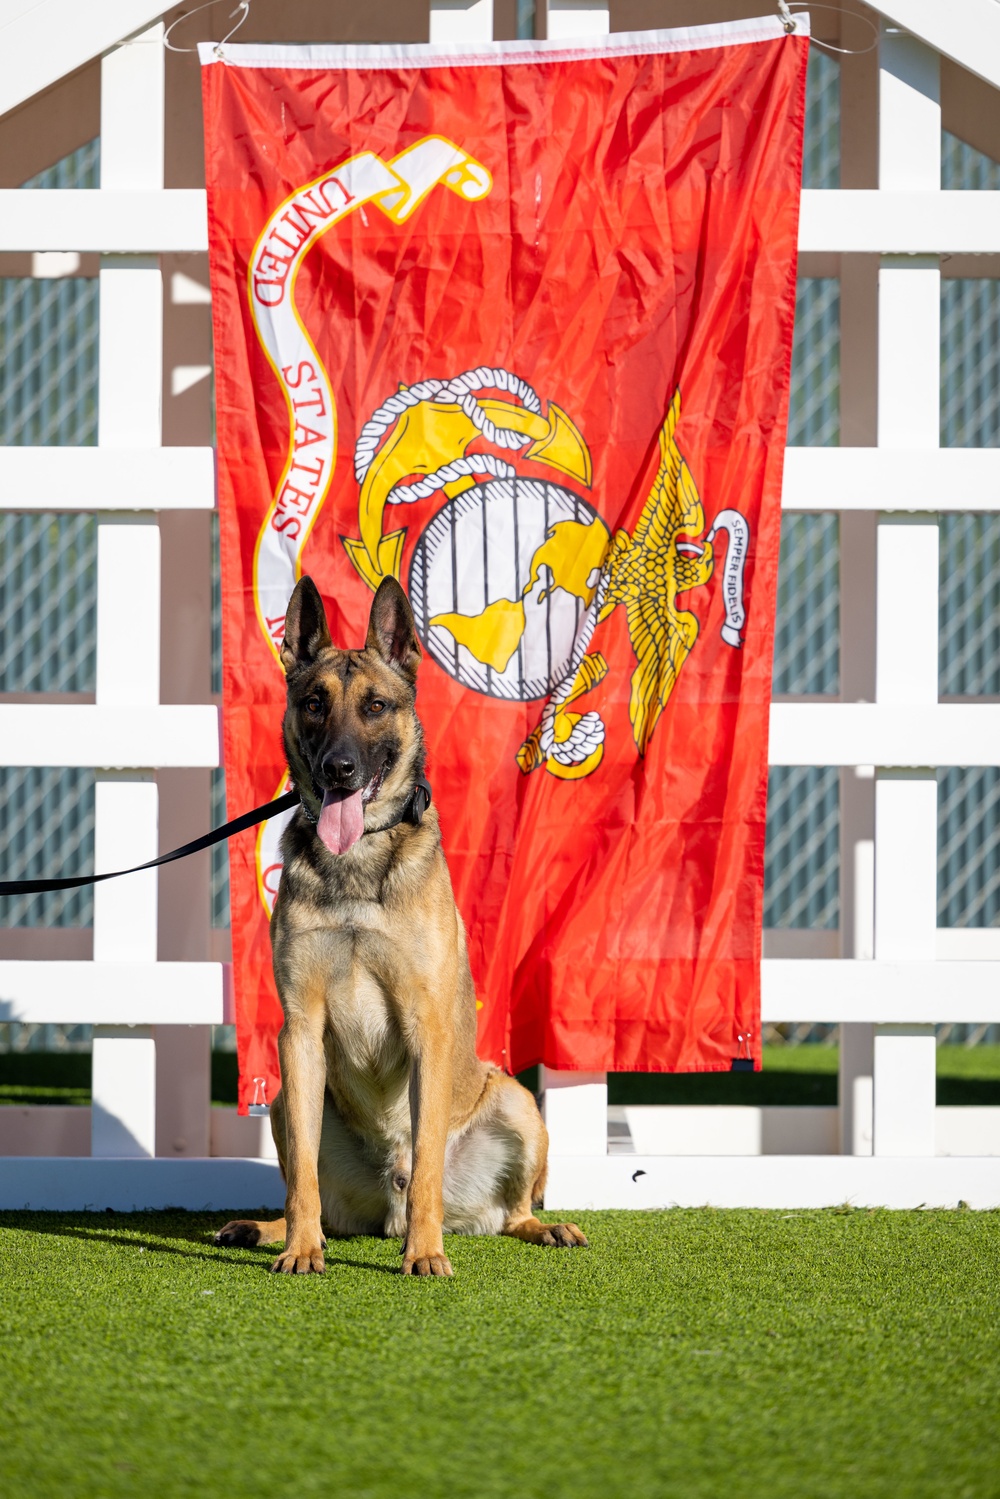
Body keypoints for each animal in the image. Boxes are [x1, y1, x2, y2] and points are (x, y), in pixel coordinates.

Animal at [212, 572, 587, 1277]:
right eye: (314, 704)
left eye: (377, 706)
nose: (337, 770)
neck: (358, 861)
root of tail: (385, 1199)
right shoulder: (299, 1031)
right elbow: (302, 1179)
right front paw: (301, 1250)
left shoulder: (426, 1031)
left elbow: (431, 1166)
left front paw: (426, 1254)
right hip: (284, 1100)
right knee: (312, 1191)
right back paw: (269, 1230)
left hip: (516, 1102)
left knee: (508, 1210)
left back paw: (539, 1227)